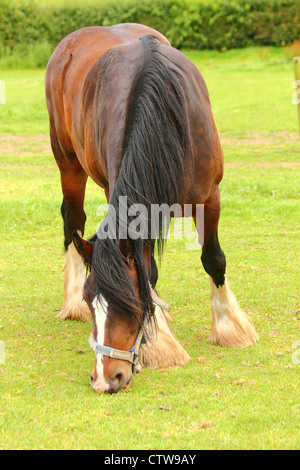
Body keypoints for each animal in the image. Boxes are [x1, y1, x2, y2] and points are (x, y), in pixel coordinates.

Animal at [44, 23, 258, 394]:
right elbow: (150, 271)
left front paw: (230, 326)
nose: (105, 379)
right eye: (90, 300)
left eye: (128, 303)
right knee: (74, 219)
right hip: (68, 162)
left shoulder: (210, 197)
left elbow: (213, 259)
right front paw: (160, 344)